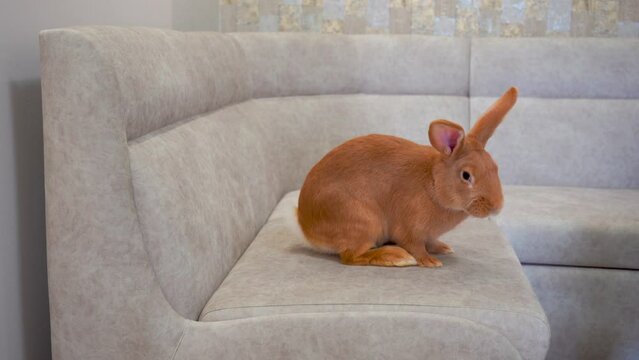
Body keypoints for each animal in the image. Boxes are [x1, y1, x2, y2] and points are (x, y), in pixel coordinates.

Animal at [298, 87, 516, 268]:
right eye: (466, 175)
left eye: (495, 167)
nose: (497, 206)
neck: (434, 184)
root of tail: (305, 227)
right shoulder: (410, 227)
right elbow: (416, 246)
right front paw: (429, 261)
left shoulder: (427, 234)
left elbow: (430, 241)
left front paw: (443, 248)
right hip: (363, 222)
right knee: (351, 256)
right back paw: (396, 257)